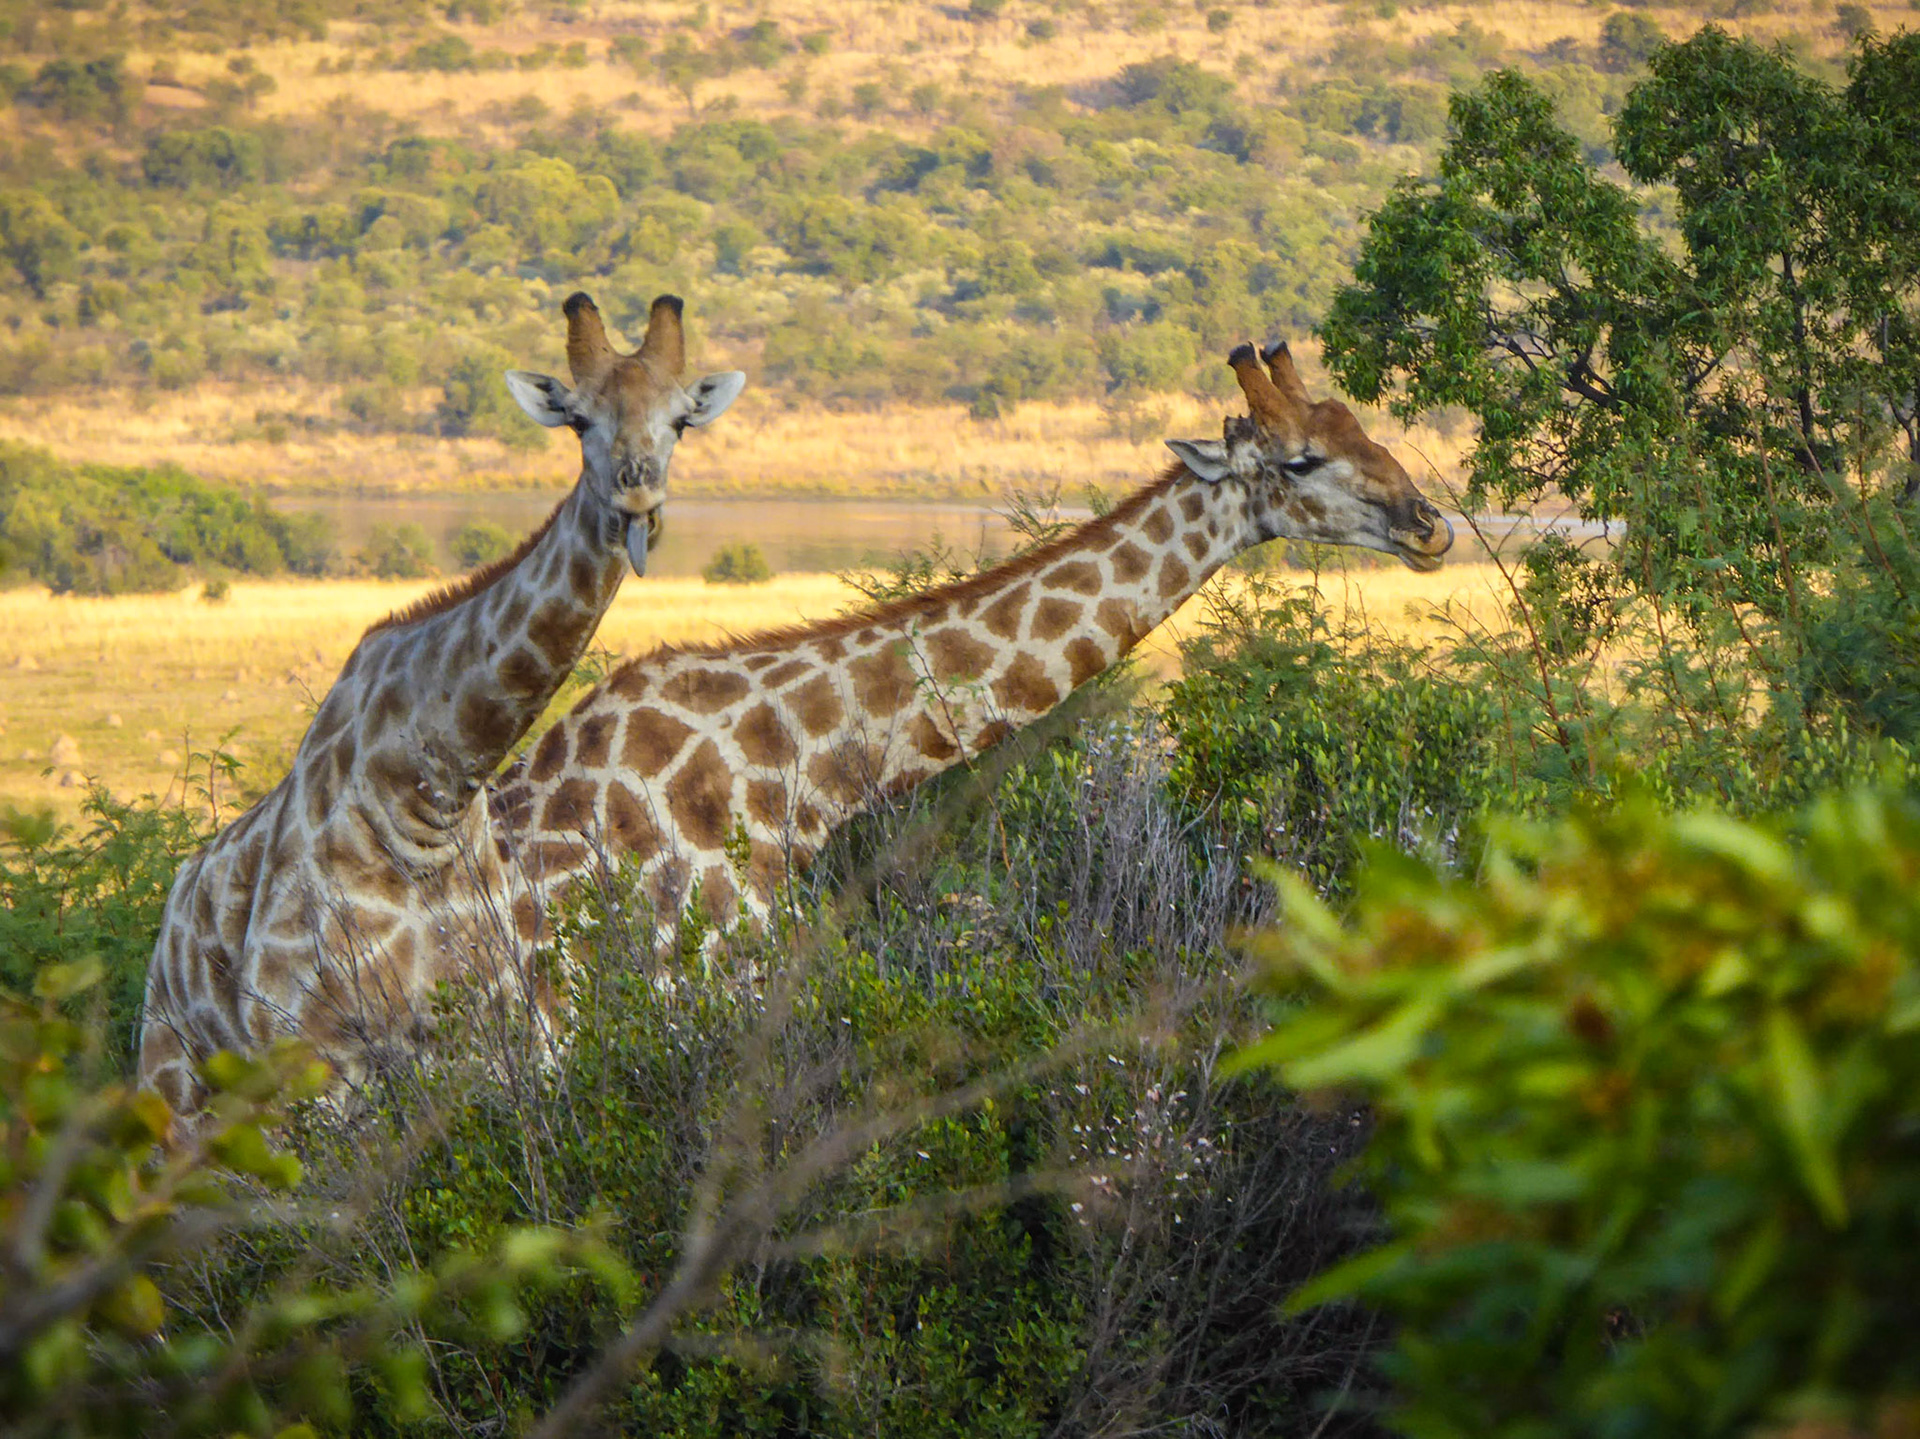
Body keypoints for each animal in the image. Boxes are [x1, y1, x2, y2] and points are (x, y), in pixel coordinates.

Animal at [136, 291, 745, 1116]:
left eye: (682, 419)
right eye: (578, 418)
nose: (637, 488)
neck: (428, 801)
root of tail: (172, 915)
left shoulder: (482, 1030)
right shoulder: (310, 1048)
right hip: (175, 1073)